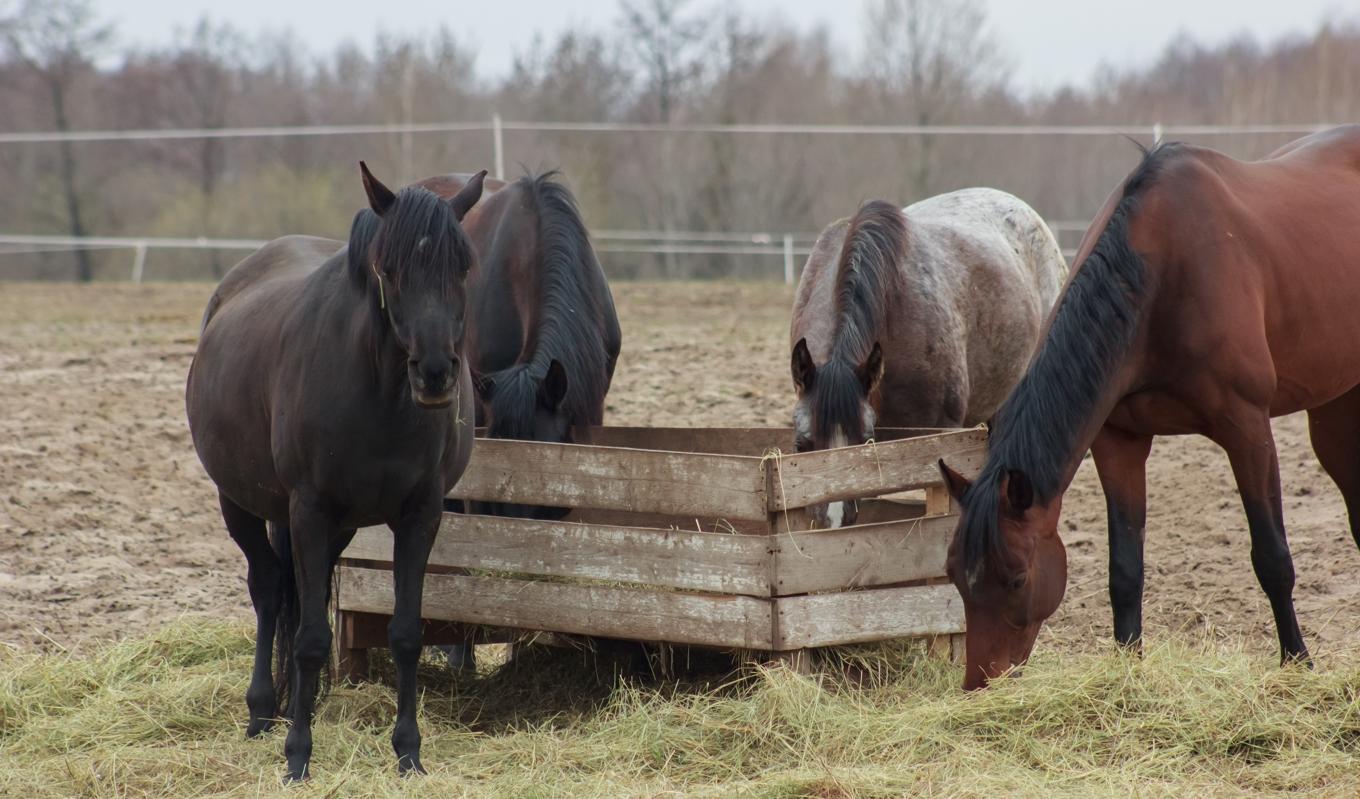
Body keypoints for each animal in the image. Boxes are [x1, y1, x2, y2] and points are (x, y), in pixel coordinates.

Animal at [941, 125, 1360, 687]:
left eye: (1016, 578)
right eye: (953, 575)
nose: (980, 683)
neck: (1161, 277)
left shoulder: (1248, 429)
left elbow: (1272, 558)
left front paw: (1297, 662)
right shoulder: (1118, 443)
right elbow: (1125, 570)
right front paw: (1127, 666)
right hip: (1335, 408)